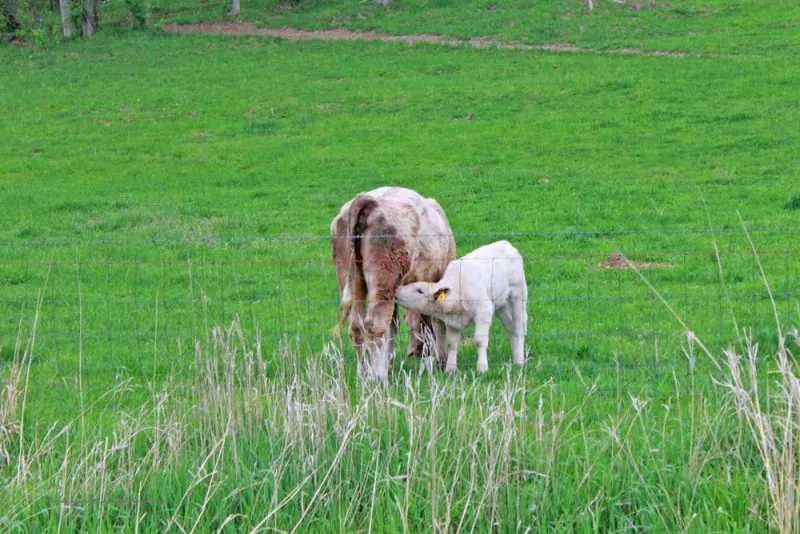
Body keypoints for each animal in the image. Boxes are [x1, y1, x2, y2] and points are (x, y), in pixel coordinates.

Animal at [332, 188, 456, 382]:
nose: (414, 352)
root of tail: (368, 200)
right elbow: (433, 324)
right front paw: (435, 361)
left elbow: (394, 325)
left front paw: (389, 362)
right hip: (384, 277)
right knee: (374, 325)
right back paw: (377, 376)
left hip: (352, 279)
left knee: (357, 328)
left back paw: (363, 373)